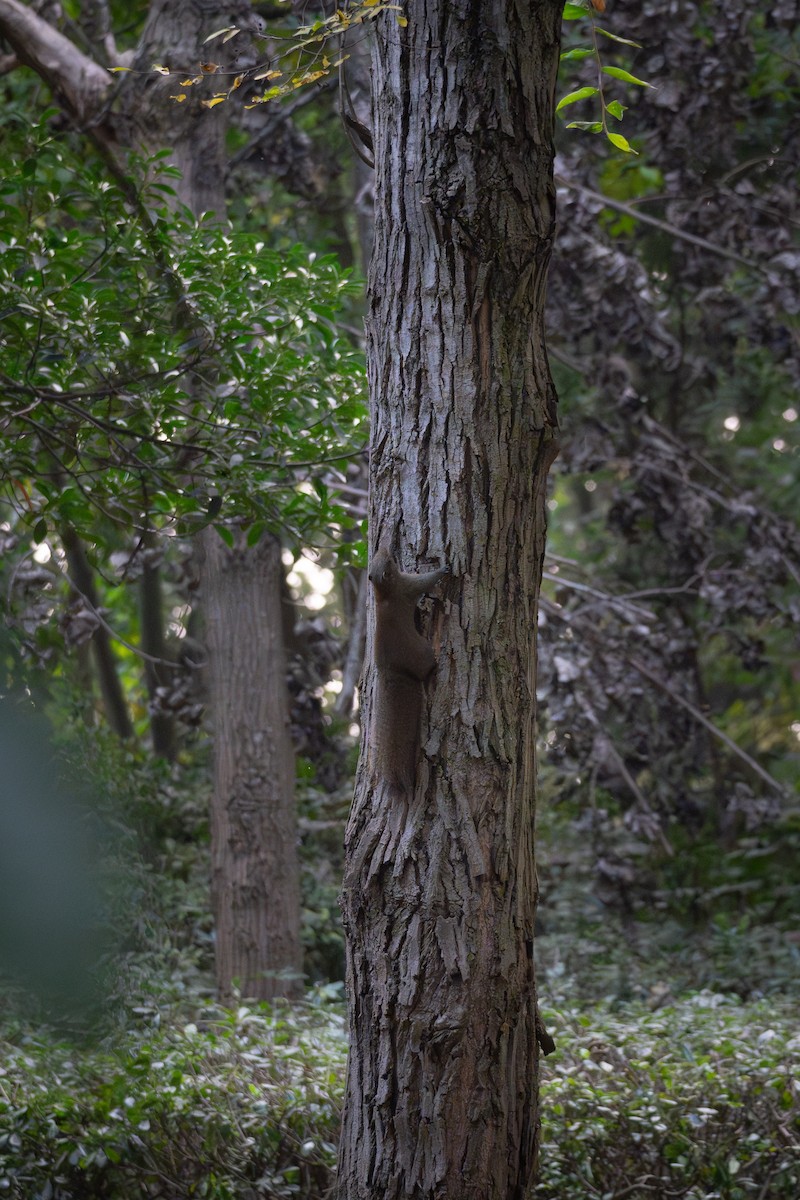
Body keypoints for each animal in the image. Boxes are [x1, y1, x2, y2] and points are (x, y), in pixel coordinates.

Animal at [368, 547, 449, 792]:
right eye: (391, 561)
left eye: (380, 558)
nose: (386, 547)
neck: (383, 593)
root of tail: (392, 669)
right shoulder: (408, 586)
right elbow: (424, 582)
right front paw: (443, 569)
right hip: (422, 652)